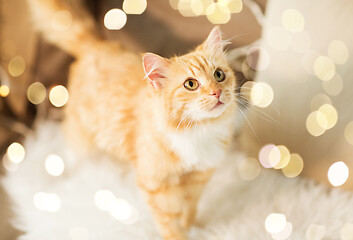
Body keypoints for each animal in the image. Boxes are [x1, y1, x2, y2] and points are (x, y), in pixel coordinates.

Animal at [28, 0, 239, 239]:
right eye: (191, 84)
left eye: (219, 75)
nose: (217, 92)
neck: (197, 131)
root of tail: (98, 45)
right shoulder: (155, 187)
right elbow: (169, 223)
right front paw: (180, 234)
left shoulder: (199, 178)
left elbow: (190, 208)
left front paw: (192, 226)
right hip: (81, 136)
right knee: (72, 155)